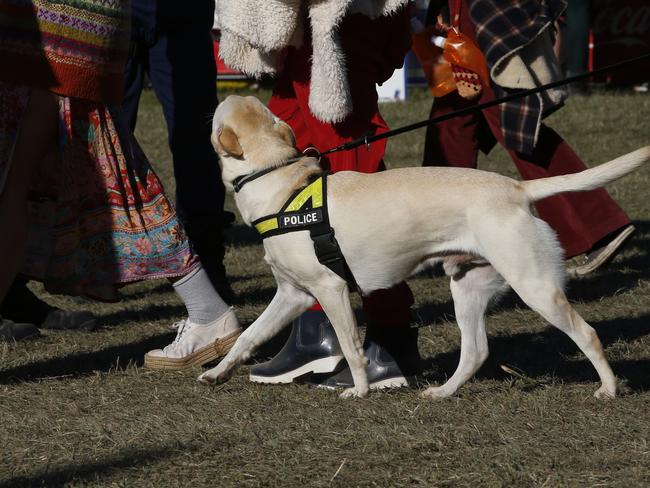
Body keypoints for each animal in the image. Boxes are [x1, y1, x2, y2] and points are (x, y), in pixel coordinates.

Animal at [199, 93, 648, 398]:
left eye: (218, 110)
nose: (215, 97)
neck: (279, 184)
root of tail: (516, 188)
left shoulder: (330, 289)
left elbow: (351, 347)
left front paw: (359, 390)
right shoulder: (292, 294)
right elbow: (248, 337)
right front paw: (217, 372)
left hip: (535, 287)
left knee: (587, 334)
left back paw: (609, 389)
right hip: (468, 288)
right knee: (476, 352)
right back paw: (443, 392)